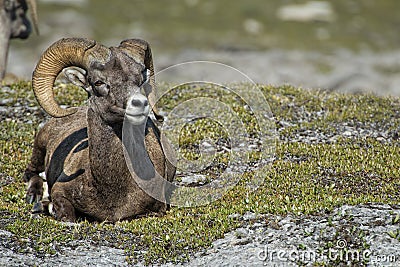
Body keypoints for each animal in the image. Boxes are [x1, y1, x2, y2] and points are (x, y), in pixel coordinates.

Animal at [23, 37, 176, 222]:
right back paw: (34, 198)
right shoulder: (60, 190)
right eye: (98, 82)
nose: (140, 103)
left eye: (140, 79)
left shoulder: (156, 210)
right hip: (39, 147)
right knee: (31, 173)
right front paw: (48, 206)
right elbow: (67, 214)